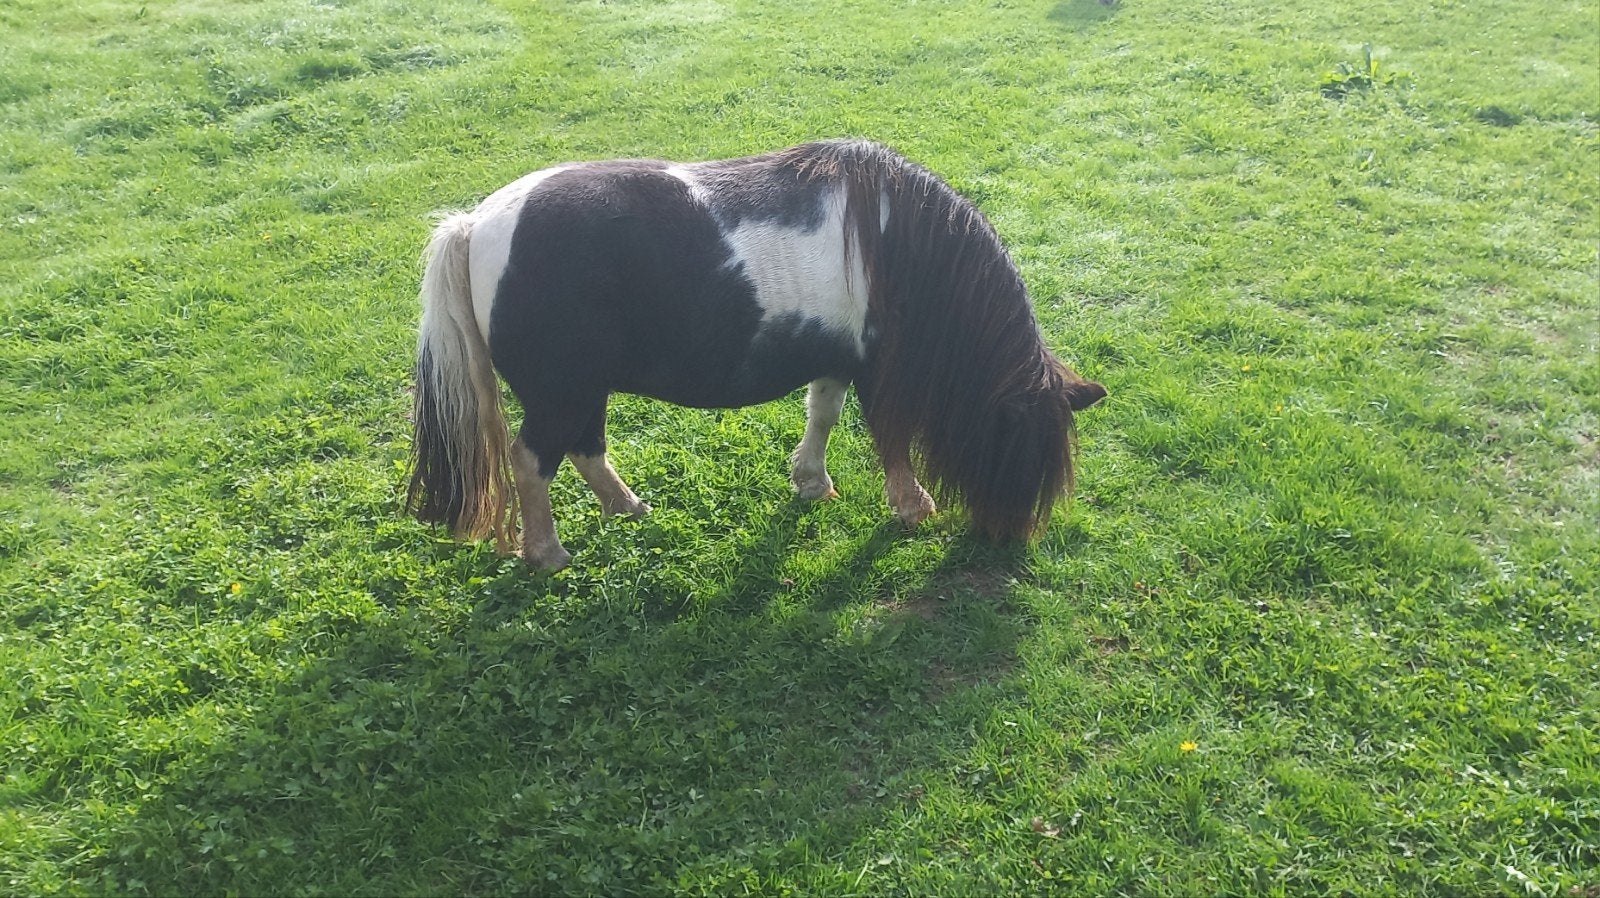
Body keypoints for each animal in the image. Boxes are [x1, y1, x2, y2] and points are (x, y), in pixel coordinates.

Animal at [406, 139, 1106, 570]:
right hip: (560, 393)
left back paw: (628, 508)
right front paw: (912, 507)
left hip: (583, 390)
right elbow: (890, 436)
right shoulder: (876, 371)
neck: (895, 246)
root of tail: (476, 226)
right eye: (1021, 446)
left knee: (584, 450)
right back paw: (548, 555)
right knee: (532, 461)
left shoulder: (835, 360)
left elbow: (822, 416)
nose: (1009, 539)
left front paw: (812, 482)